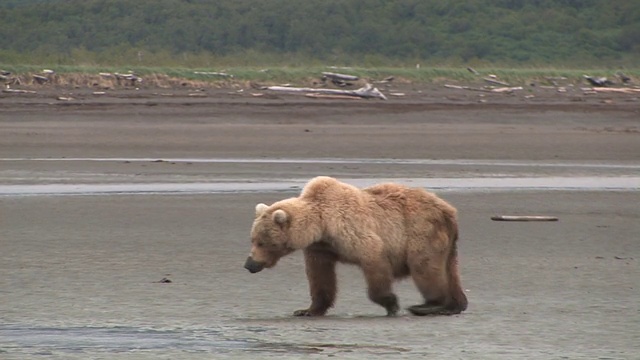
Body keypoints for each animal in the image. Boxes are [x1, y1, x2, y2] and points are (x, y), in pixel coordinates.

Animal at [242, 176, 468, 316]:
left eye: (262, 241)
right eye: (252, 239)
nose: (249, 264)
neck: (321, 224)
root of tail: (449, 210)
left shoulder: (350, 230)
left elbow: (374, 258)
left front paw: (391, 303)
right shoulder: (321, 248)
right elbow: (320, 277)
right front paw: (306, 310)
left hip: (421, 231)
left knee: (424, 267)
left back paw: (428, 305)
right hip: (445, 242)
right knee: (449, 270)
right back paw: (455, 305)